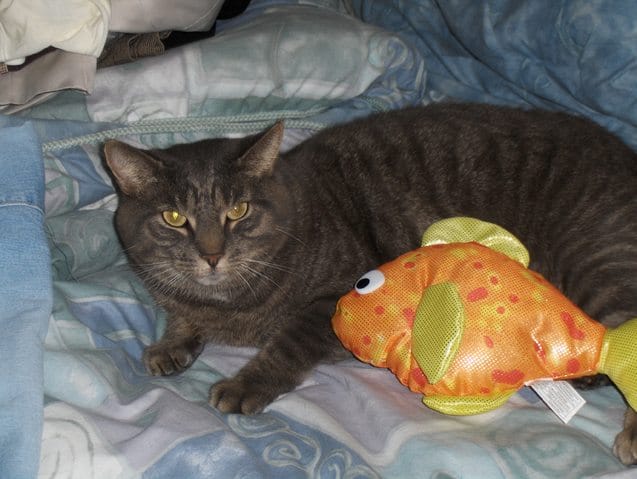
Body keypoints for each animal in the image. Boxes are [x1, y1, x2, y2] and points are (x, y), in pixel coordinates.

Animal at [104, 103, 637, 465]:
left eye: (238, 210)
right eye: (174, 218)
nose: (212, 255)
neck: (224, 303)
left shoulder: (332, 302)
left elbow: (288, 344)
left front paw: (245, 383)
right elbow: (180, 317)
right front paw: (170, 344)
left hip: (599, 263)